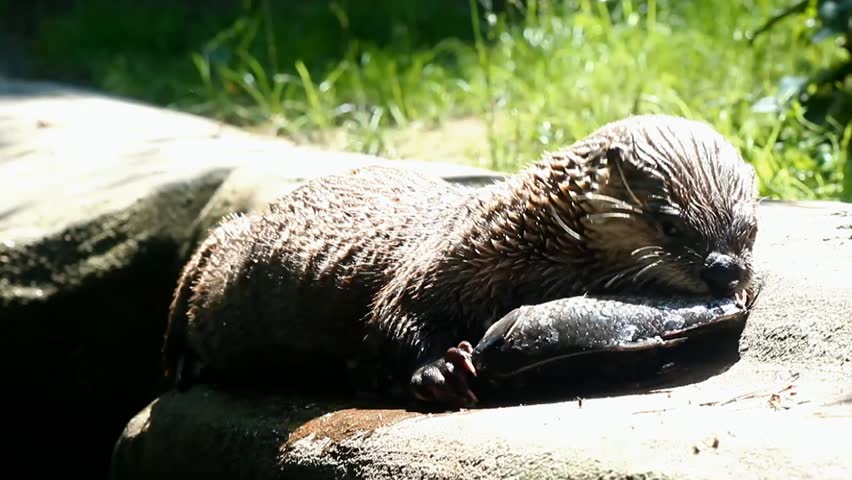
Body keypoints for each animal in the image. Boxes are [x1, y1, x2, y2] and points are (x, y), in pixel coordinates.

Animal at [161, 114, 758, 407]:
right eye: (669, 223)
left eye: (749, 229)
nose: (725, 270)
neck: (524, 246)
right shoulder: (440, 264)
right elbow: (392, 315)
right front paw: (440, 372)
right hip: (221, 247)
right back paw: (181, 367)